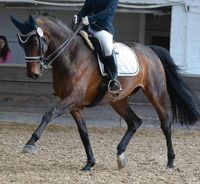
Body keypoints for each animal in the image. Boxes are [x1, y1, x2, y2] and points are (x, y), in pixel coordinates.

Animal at [10, 14, 200, 171]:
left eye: (35, 42)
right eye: (21, 44)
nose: (33, 74)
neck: (70, 55)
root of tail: (150, 50)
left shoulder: (73, 98)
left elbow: (49, 114)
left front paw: (30, 143)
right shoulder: (75, 105)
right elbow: (84, 133)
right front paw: (89, 163)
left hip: (155, 94)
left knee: (165, 123)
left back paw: (170, 162)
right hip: (118, 100)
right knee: (134, 122)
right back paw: (121, 157)